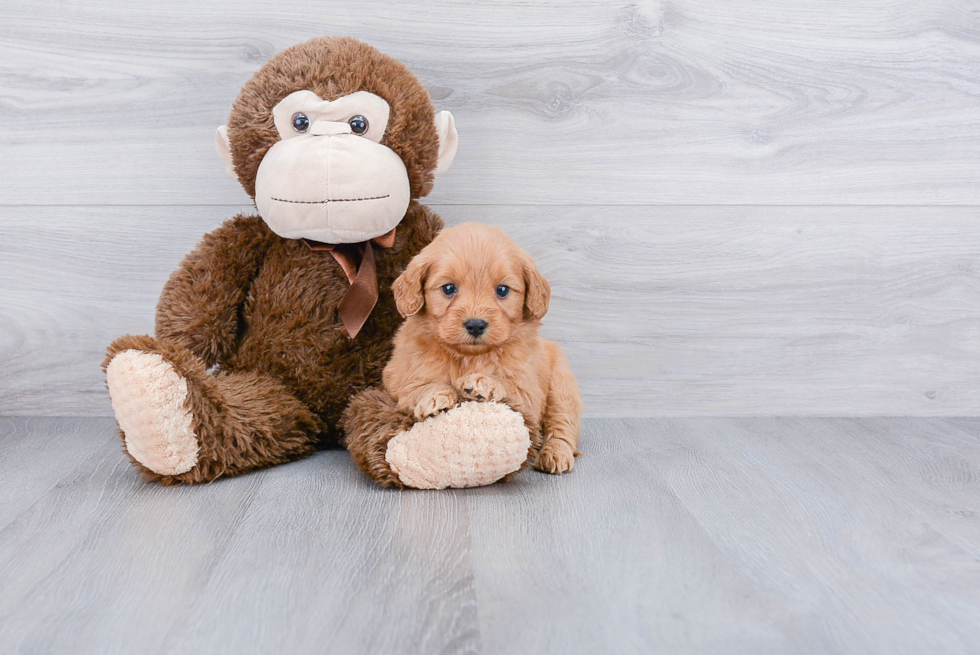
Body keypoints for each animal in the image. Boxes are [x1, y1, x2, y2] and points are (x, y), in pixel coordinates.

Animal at [384, 223, 580, 474]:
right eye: (448, 288)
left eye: (503, 290)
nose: (475, 324)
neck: (468, 357)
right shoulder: (397, 376)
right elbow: (415, 386)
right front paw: (434, 397)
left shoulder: (529, 393)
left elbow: (510, 387)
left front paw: (484, 383)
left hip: (563, 385)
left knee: (562, 424)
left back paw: (556, 454)